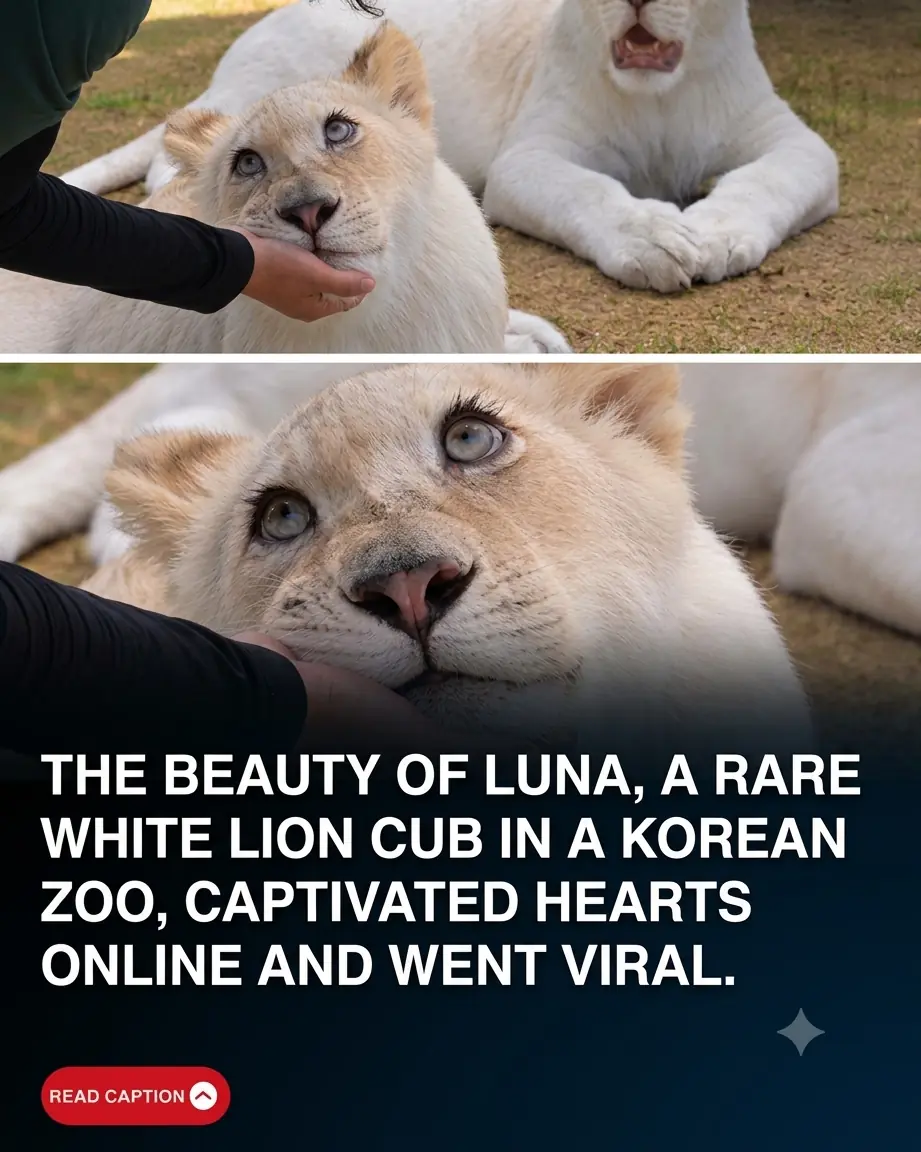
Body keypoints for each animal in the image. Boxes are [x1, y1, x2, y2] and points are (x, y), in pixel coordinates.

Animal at [65, 0, 840, 294]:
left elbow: (777, 177)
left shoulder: (785, 136)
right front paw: (657, 240)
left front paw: (716, 235)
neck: (659, 93)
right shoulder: (530, 155)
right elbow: (591, 191)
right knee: (173, 162)